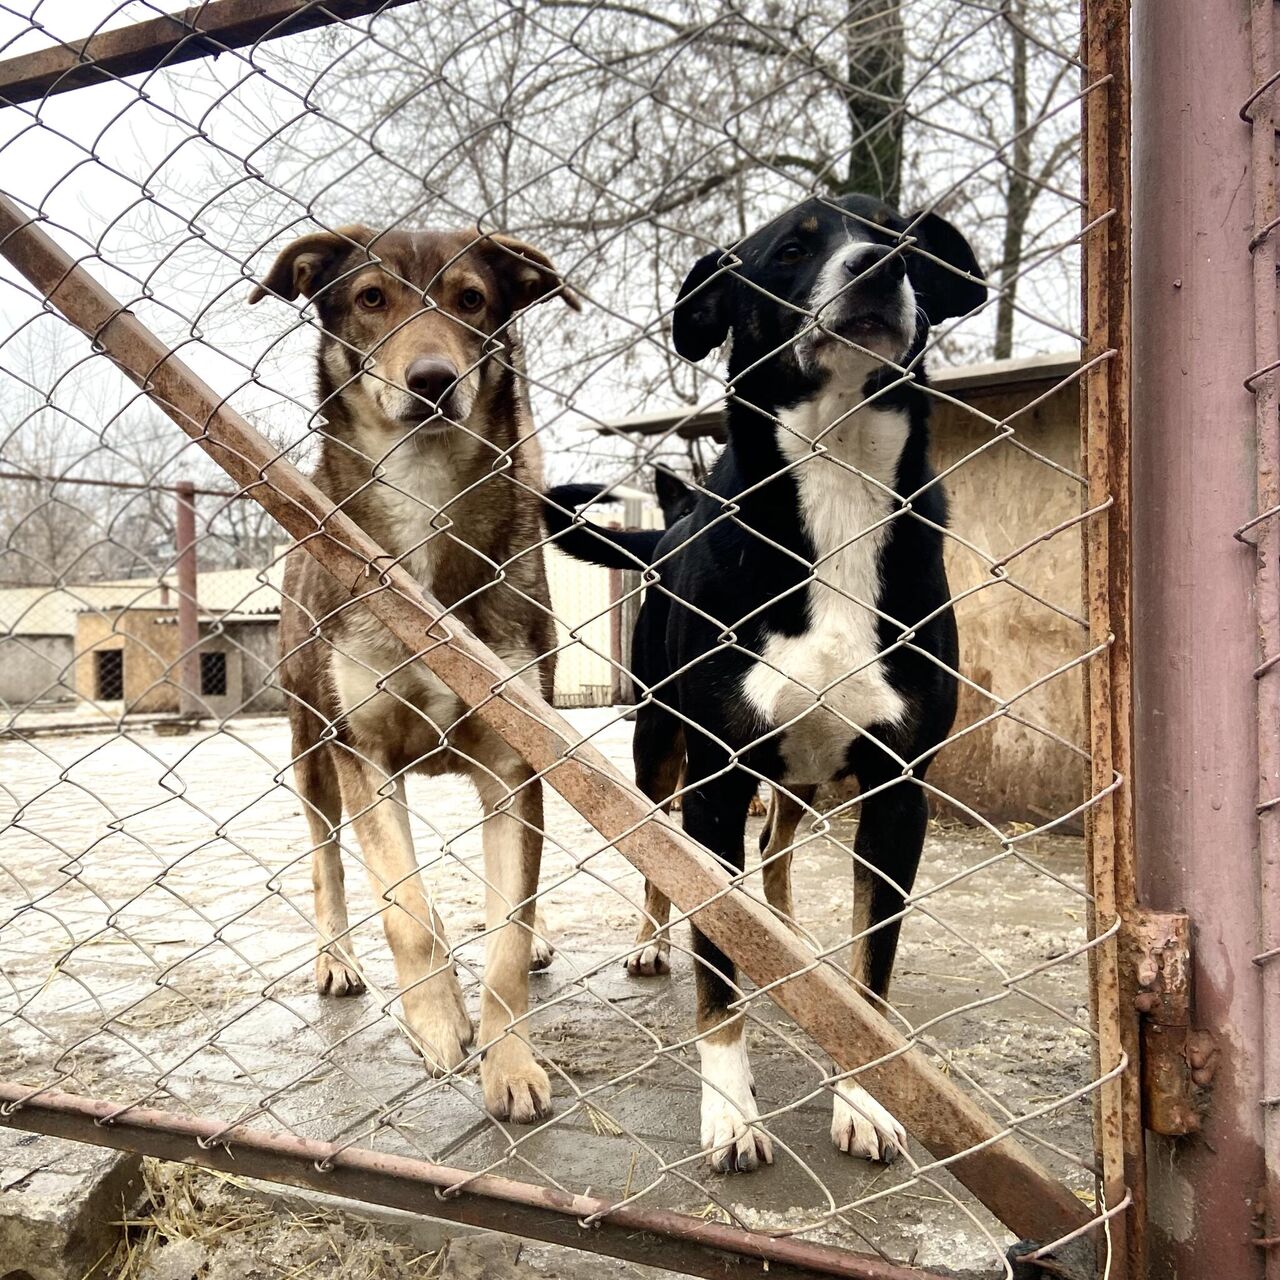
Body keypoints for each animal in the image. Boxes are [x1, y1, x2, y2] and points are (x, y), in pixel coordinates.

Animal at [250, 222, 581, 1121]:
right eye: (372, 299)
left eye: (472, 299)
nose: (433, 381)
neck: (425, 499)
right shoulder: (359, 749)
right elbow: (407, 909)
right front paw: (436, 1023)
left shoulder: (514, 761)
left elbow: (505, 940)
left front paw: (510, 1064)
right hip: (308, 745)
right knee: (327, 862)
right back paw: (335, 959)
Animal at [547, 192, 977, 1172]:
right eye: (790, 250)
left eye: (904, 241)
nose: (878, 268)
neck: (840, 480)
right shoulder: (713, 781)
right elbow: (716, 968)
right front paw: (732, 1112)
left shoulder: (898, 793)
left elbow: (871, 980)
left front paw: (863, 1099)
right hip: (659, 747)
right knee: (663, 860)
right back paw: (649, 944)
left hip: (798, 779)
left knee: (776, 861)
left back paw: (788, 939)